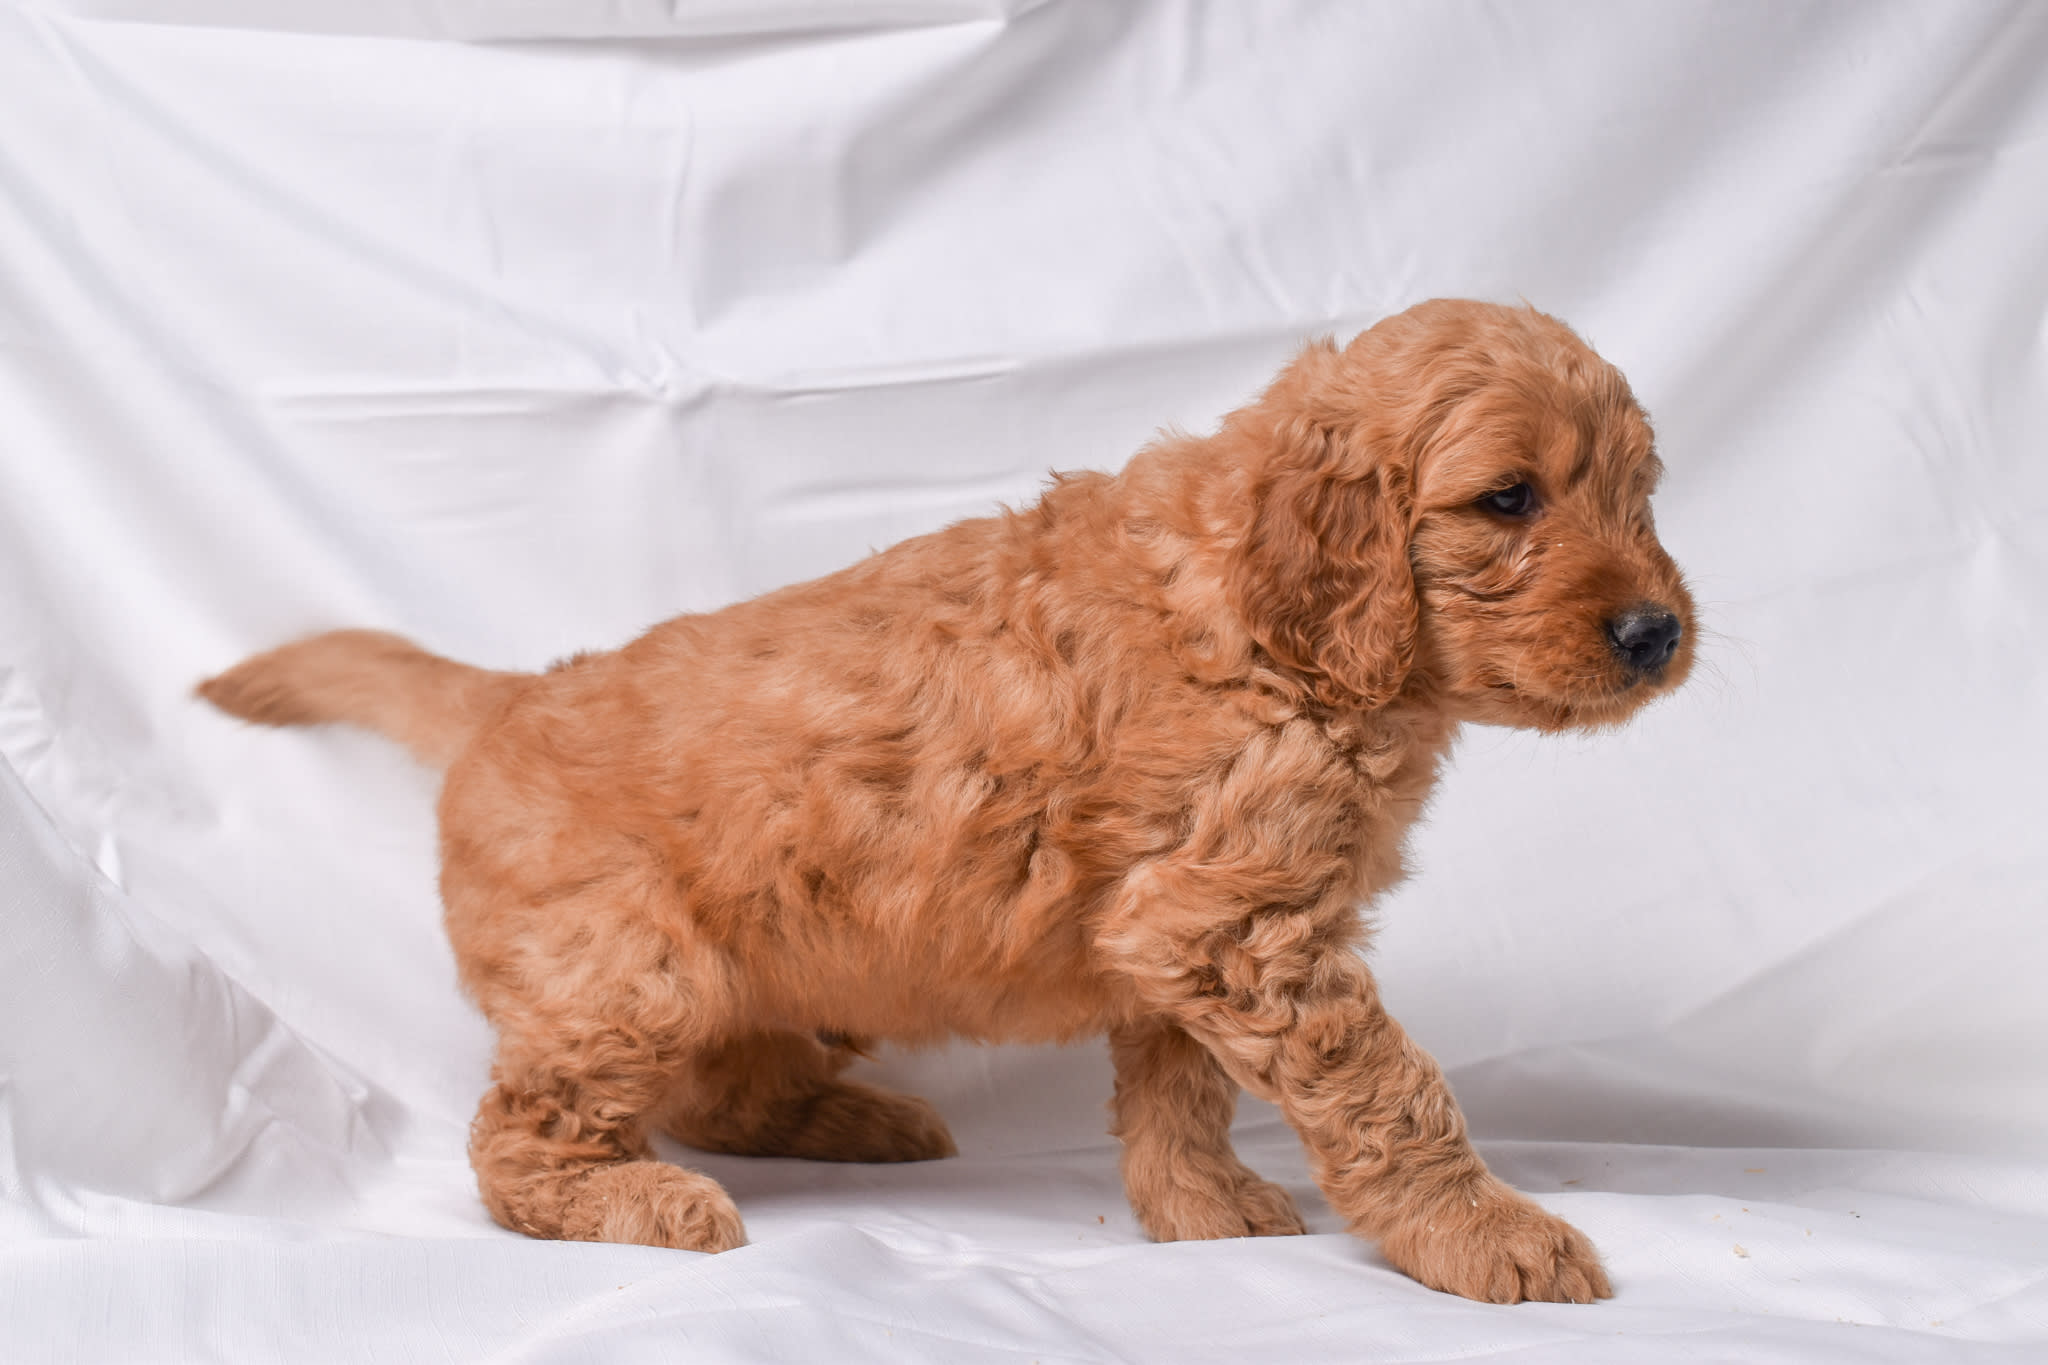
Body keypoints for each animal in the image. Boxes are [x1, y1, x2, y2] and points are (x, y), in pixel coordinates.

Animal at [199, 296, 1695, 1301]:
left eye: (1638, 493)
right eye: (1507, 499)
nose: (1657, 632)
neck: (1276, 621)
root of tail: (509, 698)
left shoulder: (1177, 930)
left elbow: (1179, 1090)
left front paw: (1200, 1210)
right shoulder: (1235, 924)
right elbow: (1393, 1091)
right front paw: (1488, 1234)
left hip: (752, 965)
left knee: (715, 1083)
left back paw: (847, 1122)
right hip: (625, 973)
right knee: (518, 1141)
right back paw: (644, 1199)